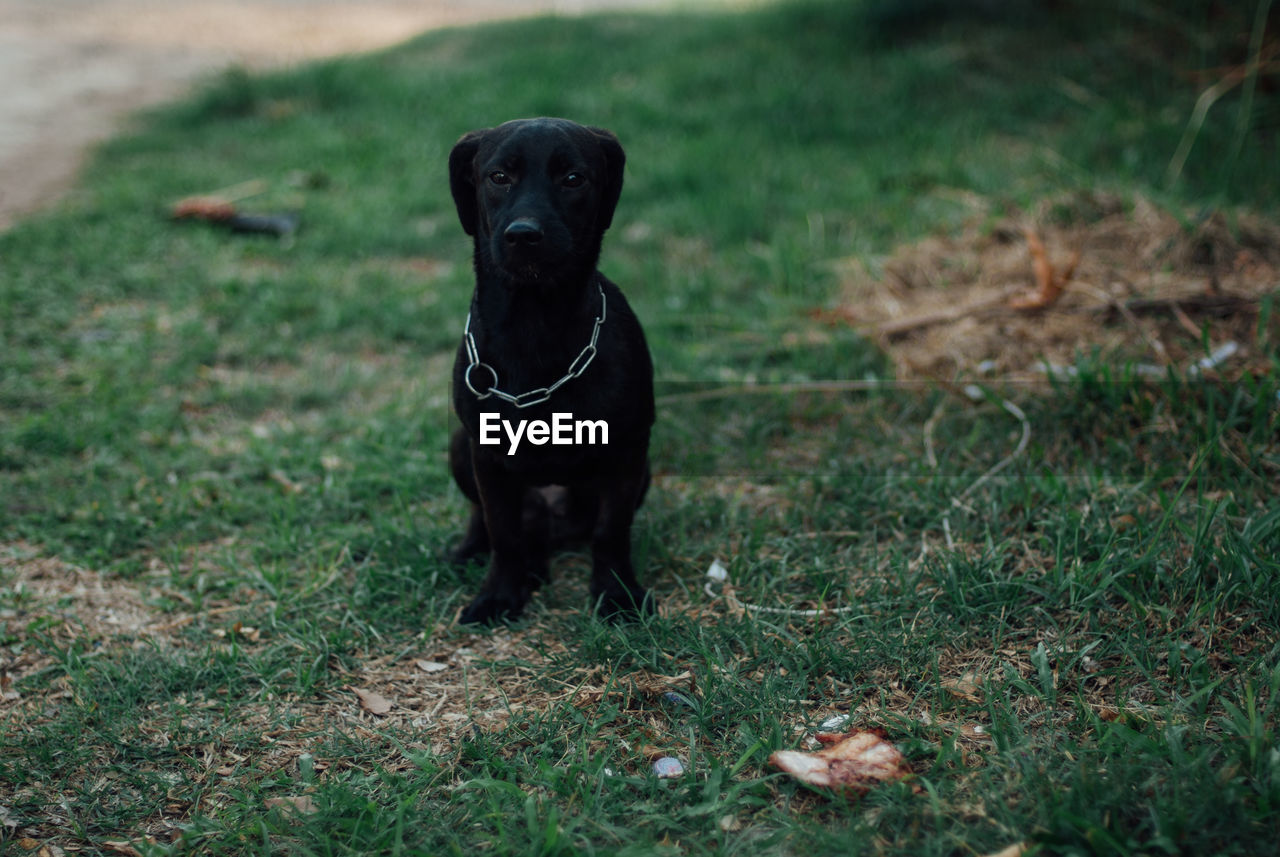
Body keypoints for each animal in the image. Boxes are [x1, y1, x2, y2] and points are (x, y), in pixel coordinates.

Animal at [445, 118, 655, 624]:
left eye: (573, 179)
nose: (524, 234)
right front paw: (498, 595)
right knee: (497, 523)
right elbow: (503, 532)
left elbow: (611, 532)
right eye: (499, 177)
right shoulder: (486, 458)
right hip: (460, 447)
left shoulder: (628, 452)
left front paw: (617, 594)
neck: (533, 324)